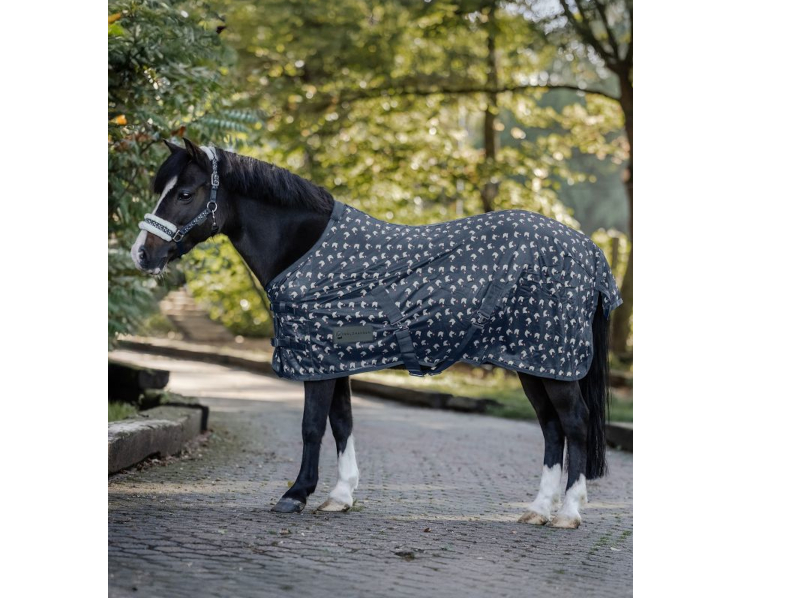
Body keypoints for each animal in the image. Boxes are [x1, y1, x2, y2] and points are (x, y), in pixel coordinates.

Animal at [130, 138, 622, 528]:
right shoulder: (333, 361)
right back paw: (538, 509)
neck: (305, 249)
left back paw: (568, 513)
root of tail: (589, 251)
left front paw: (296, 494)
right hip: (532, 364)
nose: (141, 254)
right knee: (552, 430)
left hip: (553, 365)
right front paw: (339, 496)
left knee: (575, 424)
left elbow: (312, 426)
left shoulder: (317, 360)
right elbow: (342, 423)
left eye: (186, 193)